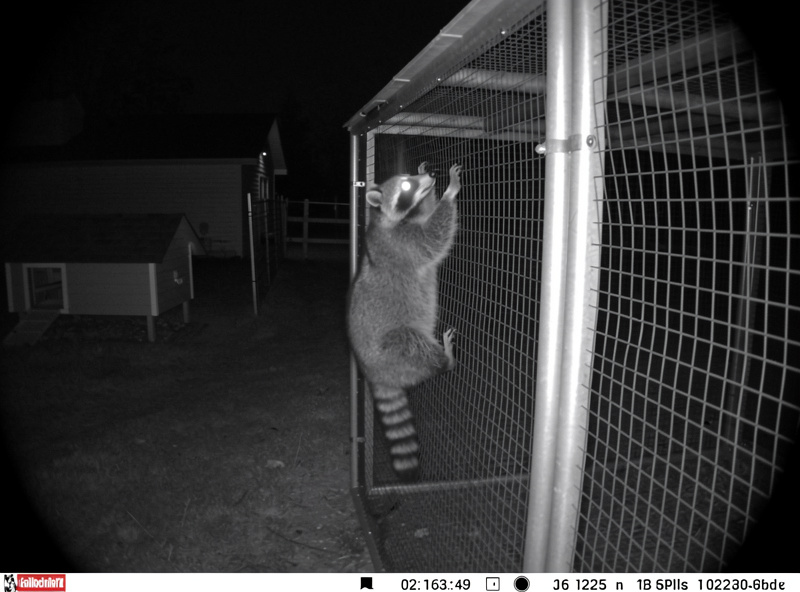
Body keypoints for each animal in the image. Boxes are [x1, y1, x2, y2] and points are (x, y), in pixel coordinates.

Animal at [348, 161, 462, 480]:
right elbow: (434, 237)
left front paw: (434, 190)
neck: (382, 217)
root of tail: (373, 372)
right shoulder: (402, 244)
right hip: (394, 346)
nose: (431, 176)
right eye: (406, 187)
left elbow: (428, 219)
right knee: (413, 344)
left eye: (411, 177)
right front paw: (449, 192)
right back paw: (445, 359)